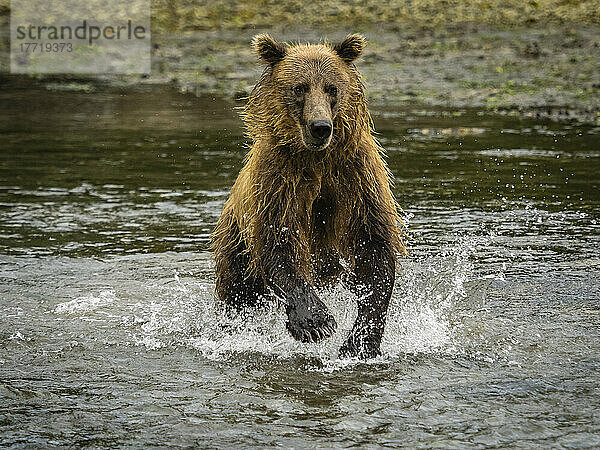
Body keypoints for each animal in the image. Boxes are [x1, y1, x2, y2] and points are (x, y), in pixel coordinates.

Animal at [212, 33, 408, 358]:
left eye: (332, 88)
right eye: (299, 88)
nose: (321, 127)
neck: (317, 159)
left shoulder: (357, 177)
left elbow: (374, 248)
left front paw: (360, 342)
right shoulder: (278, 181)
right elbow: (279, 243)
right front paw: (314, 322)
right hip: (236, 244)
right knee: (238, 295)